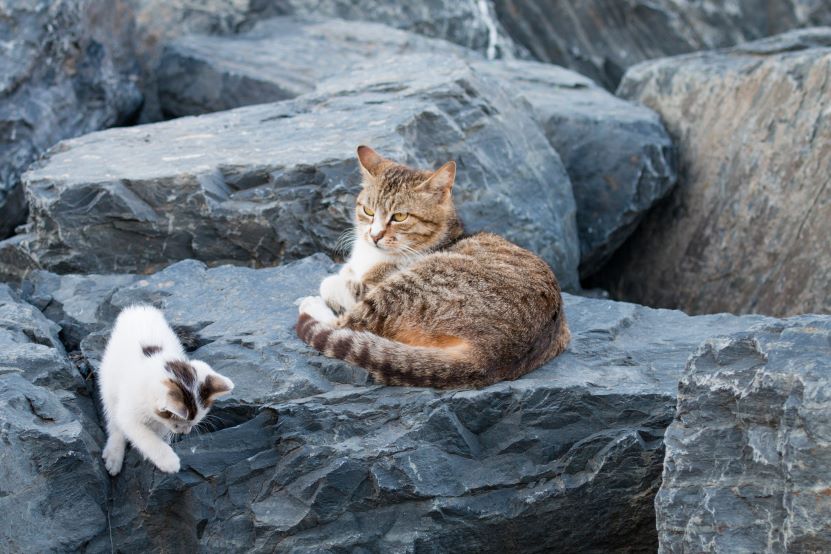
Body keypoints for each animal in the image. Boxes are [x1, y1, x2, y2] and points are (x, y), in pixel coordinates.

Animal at [98, 305, 234, 475]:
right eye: (177, 423)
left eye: (194, 422)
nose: (185, 432)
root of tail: (137, 309)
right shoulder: (128, 412)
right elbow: (144, 435)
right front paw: (168, 460)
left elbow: (158, 429)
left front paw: (163, 438)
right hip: (108, 379)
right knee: (112, 418)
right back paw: (114, 455)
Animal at [296, 145, 570, 389]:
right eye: (368, 210)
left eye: (400, 217)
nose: (374, 236)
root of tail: (492, 354)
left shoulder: (373, 283)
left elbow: (335, 283)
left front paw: (334, 284)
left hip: (411, 285)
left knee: (349, 324)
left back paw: (312, 306)